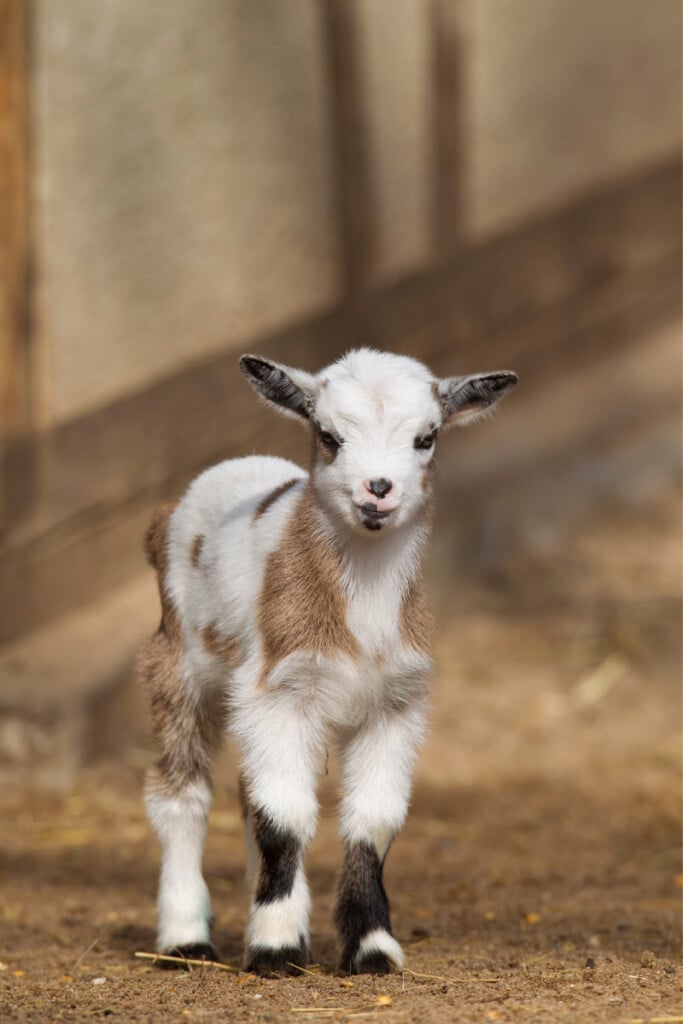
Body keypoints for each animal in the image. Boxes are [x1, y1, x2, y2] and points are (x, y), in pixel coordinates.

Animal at [140, 348, 517, 976]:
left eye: (427, 437)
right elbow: (285, 817)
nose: (378, 488)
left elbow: (372, 821)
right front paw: (275, 948)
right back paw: (185, 939)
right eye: (329, 435)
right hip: (178, 662)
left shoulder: (395, 704)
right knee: (182, 793)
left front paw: (371, 948)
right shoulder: (280, 690)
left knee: (245, 793)